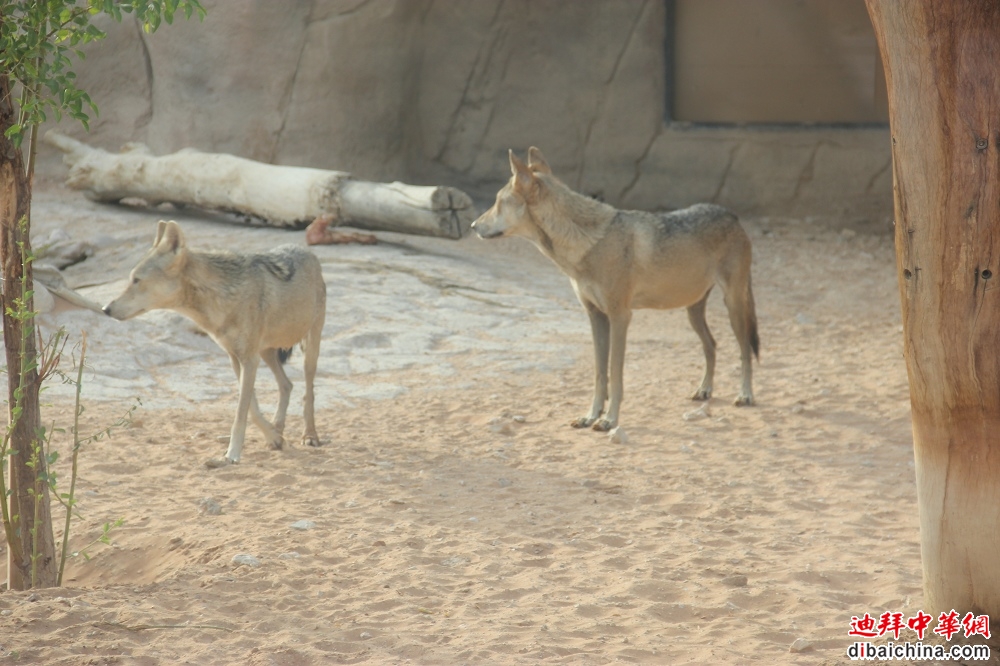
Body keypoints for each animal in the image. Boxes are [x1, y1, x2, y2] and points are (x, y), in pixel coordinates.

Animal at [104, 220, 328, 464]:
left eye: (136, 280)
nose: (106, 309)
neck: (219, 298)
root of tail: (309, 252)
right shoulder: (236, 358)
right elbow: (251, 408)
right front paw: (273, 438)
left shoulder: (249, 359)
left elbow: (241, 412)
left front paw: (232, 454)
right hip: (267, 352)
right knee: (287, 385)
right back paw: (277, 430)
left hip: (309, 349)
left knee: (308, 392)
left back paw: (310, 435)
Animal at [470, 147, 756, 430]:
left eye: (497, 202)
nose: (473, 226)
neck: (587, 243)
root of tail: (732, 215)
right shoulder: (596, 316)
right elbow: (600, 373)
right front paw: (590, 415)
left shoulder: (620, 317)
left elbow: (616, 374)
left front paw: (609, 419)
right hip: (693, 311)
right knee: (712, 345)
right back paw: (704, 390)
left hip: (733, 305)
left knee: (745, 351)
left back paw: (745, 395)